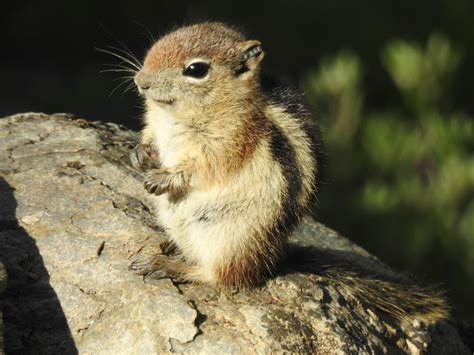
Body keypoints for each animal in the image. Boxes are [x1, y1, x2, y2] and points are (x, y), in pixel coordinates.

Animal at [129, 20, 448, 324]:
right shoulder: (154, 123)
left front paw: (163, 177)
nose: (140, 81)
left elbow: (205, 167)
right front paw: (139, 153)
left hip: (227, 238)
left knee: (222, 275)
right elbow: (149, 135)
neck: (175, 114)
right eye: (161, 42)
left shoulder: (231, 141)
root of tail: (271, 259)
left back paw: (168, 265)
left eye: (196, 69)